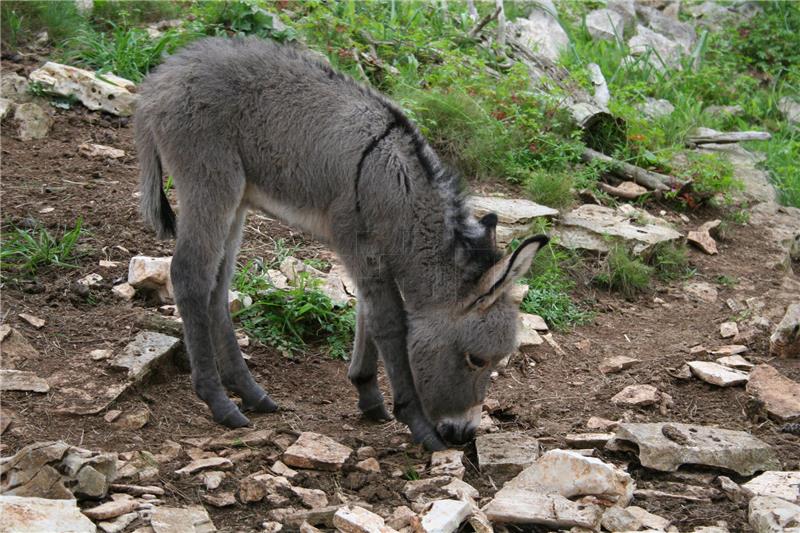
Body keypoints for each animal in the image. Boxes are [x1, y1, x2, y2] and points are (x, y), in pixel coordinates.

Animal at [136, 38, 552, 448]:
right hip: (209, 182)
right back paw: (218, 401)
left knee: (216, 289)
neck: (398, 188)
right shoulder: (358, 244)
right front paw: (416, 423)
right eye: (476, 360)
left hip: (236, 201)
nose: (464, 436)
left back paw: (250, 392)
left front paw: (368, 394)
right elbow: (389, 324)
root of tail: (163, 75)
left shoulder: (371, 255)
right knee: (189, 277)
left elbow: (366, 313)